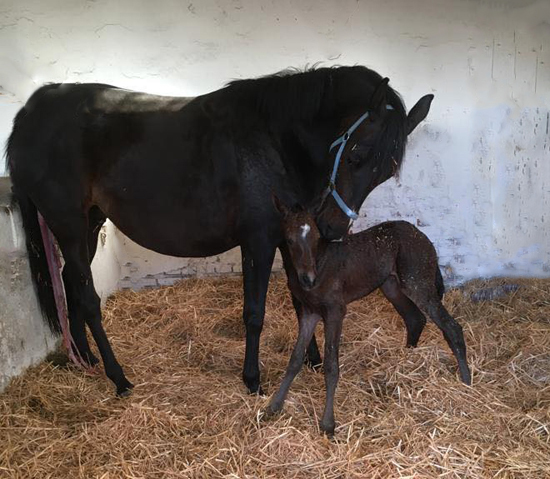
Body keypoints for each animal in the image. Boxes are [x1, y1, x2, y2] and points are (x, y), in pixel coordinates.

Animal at [270, 197, 472, 436]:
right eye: (290, 240)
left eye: (316, 237)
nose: (308, 279)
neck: (319, 265)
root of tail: (425, 239)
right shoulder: (310, 312)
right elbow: (295, 359)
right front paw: (273, 407)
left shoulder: (335, 311)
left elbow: (331, 365)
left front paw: (328, 424)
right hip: (391, 285)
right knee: (415, 319)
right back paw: (407, 360)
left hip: (417, 283)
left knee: (451, 327)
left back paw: (466, 381)